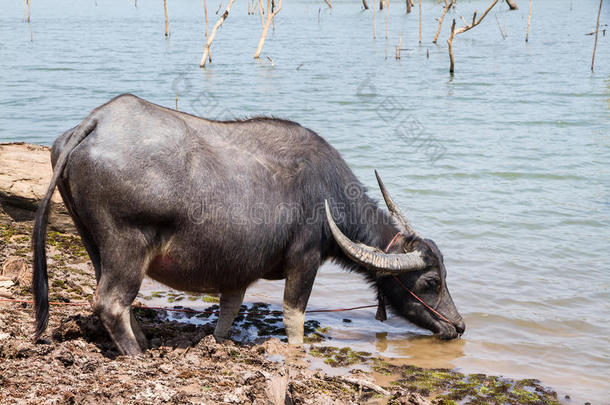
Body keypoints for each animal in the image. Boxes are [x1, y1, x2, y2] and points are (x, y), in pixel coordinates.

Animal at [32, 94, 460, 354]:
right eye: (430, 282)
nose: (458, 326)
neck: (326, 193)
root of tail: (96, 121)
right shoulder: (304, 260)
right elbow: (293, 315)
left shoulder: (236, 269)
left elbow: (229, 309)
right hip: (127, 245)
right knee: (111, 301)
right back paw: (138, 354)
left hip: (94, 242)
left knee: (117, 298)